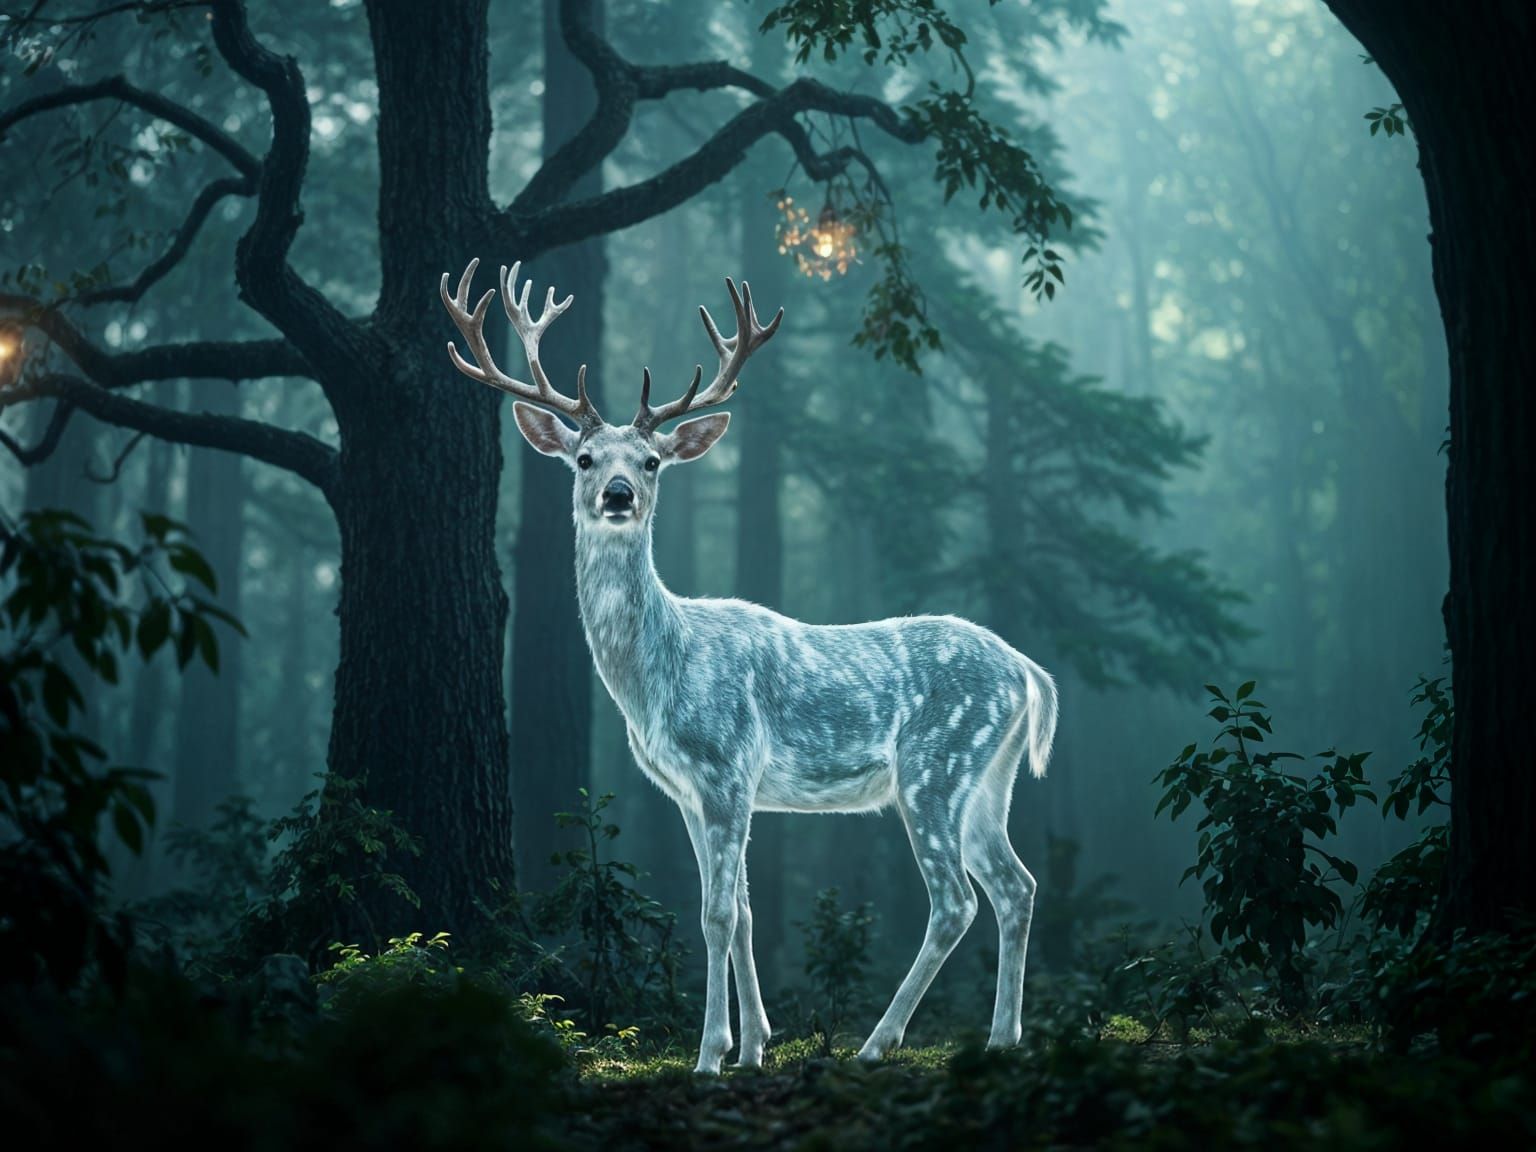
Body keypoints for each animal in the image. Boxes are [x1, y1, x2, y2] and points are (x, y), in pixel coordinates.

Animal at [440, 258, 1059, 1074]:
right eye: (583, 458)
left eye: (652, 460)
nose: (618, 494)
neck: (658, 679)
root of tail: (1028, 670)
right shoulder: (686, 790)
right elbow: (741, 908)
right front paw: (754, 1044)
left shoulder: (729, 766)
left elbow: (716, 913)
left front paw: (709, 1053)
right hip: (989, 776)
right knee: (1016, 885)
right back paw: (1001, 1037)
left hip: (936, 765)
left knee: (956, 900)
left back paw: (878, 1042)